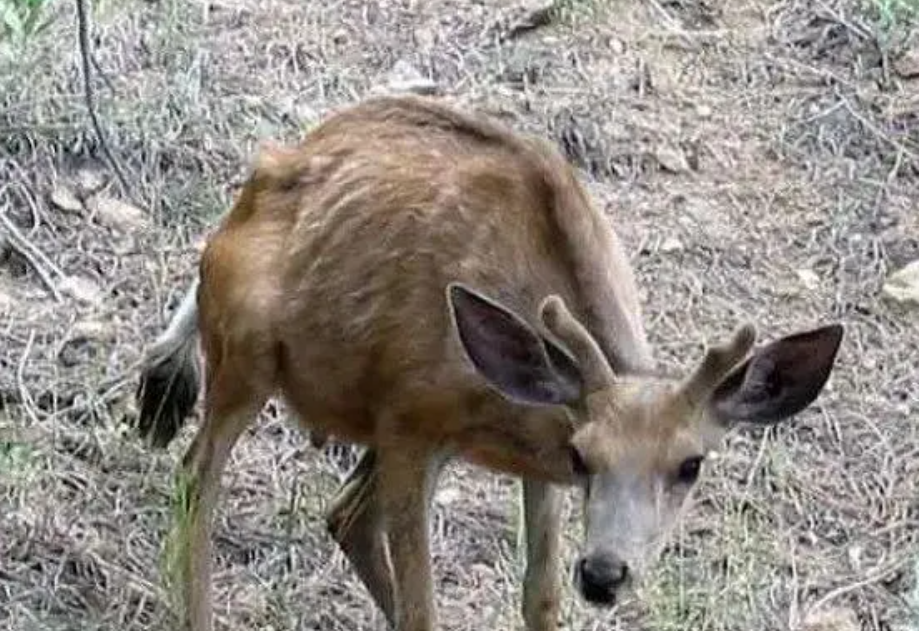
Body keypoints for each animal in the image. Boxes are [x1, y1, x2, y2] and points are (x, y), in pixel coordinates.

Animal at [132, 94, 843, 631]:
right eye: (587, 456)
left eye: (690, 465)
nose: (605, 574)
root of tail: (263, 174)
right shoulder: (409, 420)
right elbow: (422, 608)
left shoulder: (533, 458)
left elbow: (541, 597)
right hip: (247, 351)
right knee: (199, 475)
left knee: (343, 514)